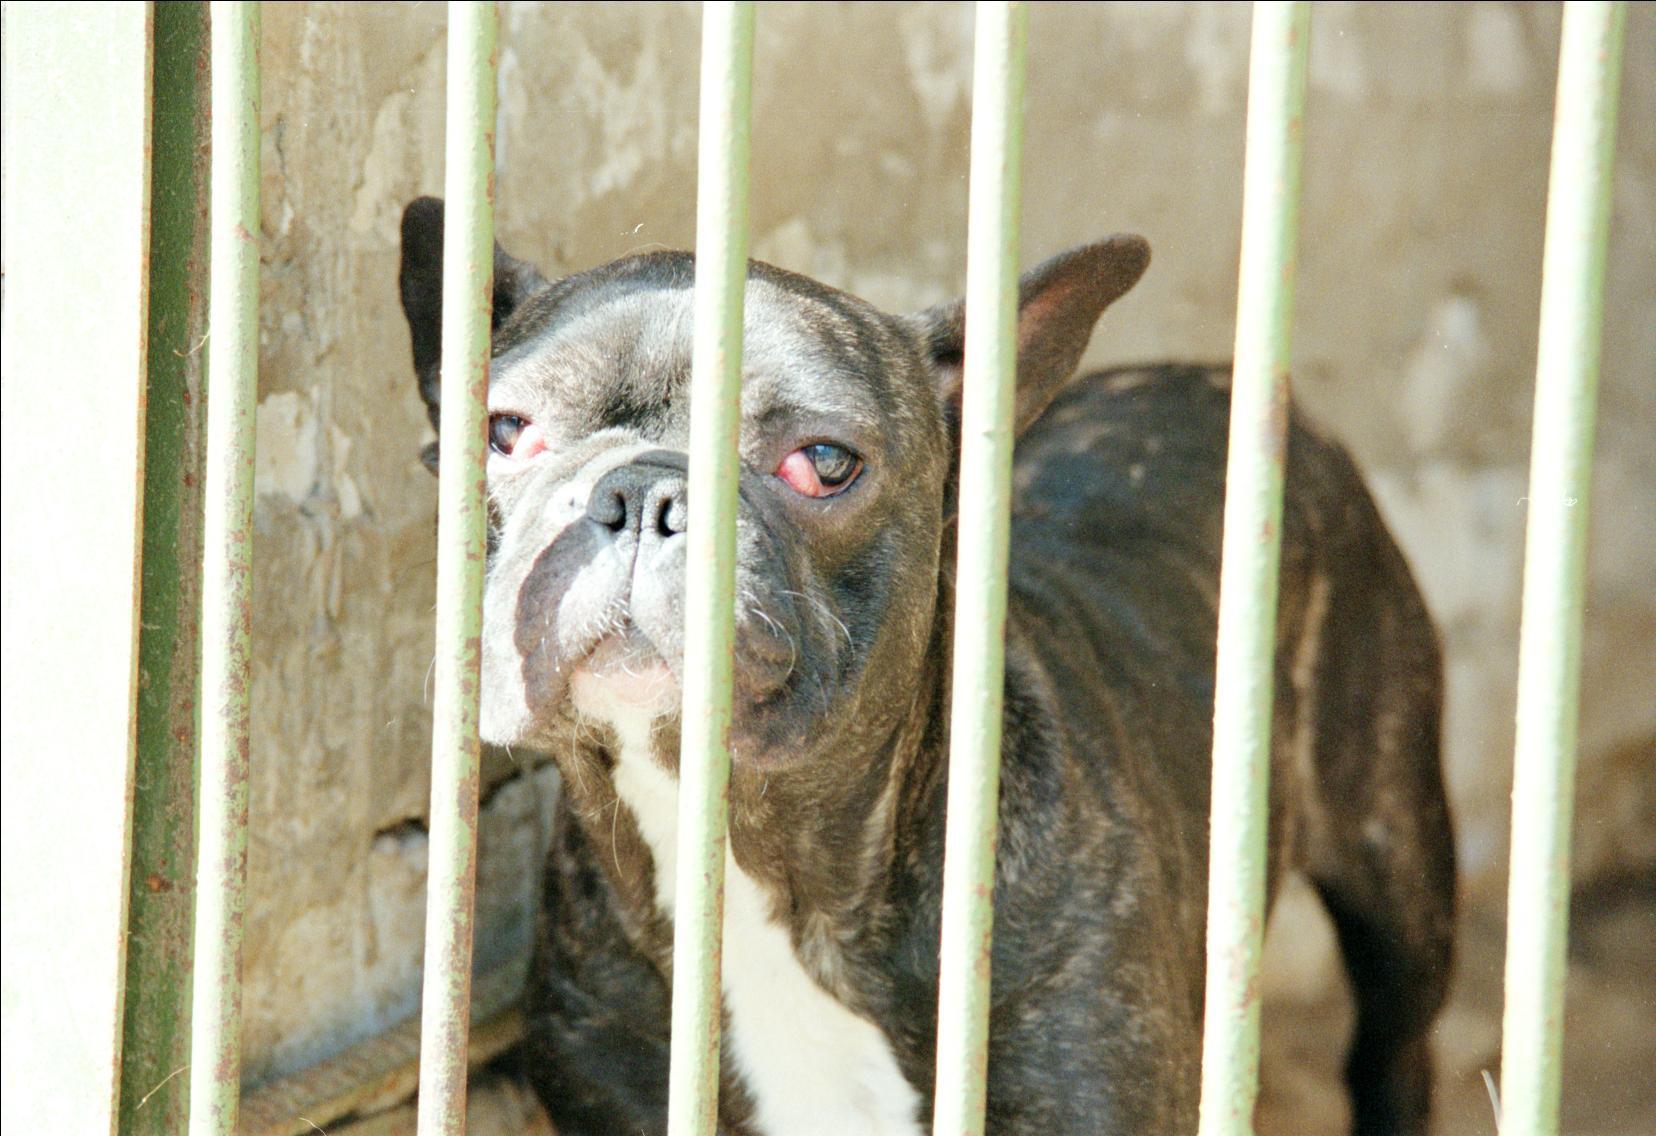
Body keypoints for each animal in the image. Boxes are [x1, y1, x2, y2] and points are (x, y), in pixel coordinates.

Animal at [399, 196, 1456, 1136]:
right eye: (503, 433)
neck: (767, 868)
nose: (639, 490)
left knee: (1395, 1038)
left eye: (824, 462)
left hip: (1396, 865)